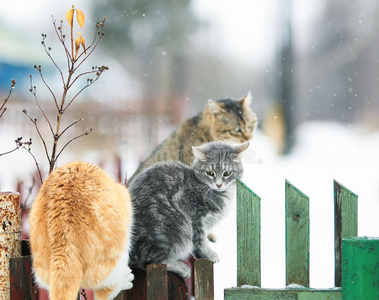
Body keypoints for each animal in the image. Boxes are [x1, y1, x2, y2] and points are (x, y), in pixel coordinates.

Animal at [129, 141, 251, 276]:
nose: (219, 184)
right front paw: (208, 254)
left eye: (227, 173)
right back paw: (181, 267)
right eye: (210, 173)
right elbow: (200, 241)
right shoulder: (196, 218)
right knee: (149, 262)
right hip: (172, 230)